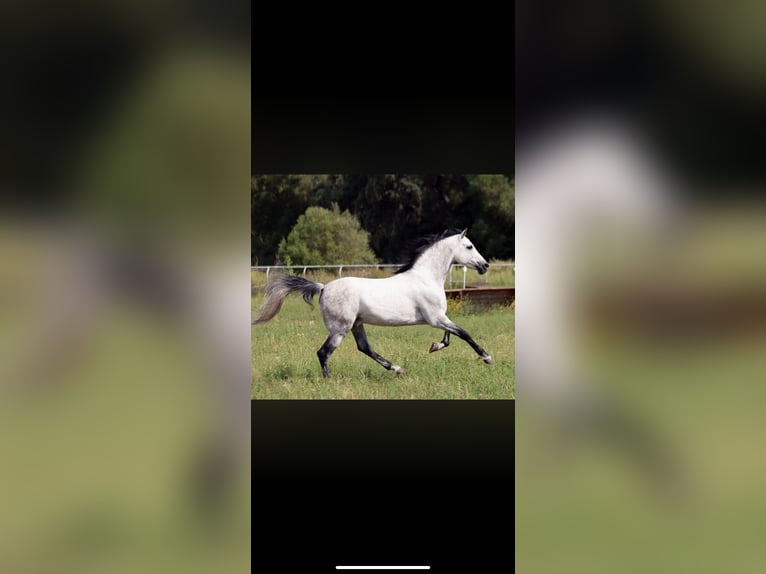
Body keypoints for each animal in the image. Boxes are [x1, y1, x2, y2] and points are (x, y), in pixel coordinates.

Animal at [252, 228, 495, 378]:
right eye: (469, 246)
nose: (485, 266)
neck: (426, 277)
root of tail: (323, 287)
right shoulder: (436, 318)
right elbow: (463, 333)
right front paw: (487, 358)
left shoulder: (439, 318)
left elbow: (450, 336)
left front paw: (434, 346)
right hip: (340, 329)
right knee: (324, 352)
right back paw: (329, 379)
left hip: (357, 324)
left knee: (364, 348)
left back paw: (397, 369)